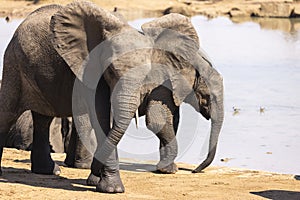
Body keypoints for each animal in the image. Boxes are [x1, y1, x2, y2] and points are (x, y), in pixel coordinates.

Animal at [0, 0, 223, 194]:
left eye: (146, 75)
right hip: (13, 63)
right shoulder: (91, 70)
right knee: (8, 113)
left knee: (43, 118)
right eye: (112, 71)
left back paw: (50, 171)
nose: (195, 170)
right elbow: (102, 117)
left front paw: (97, 182)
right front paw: (111, 188)